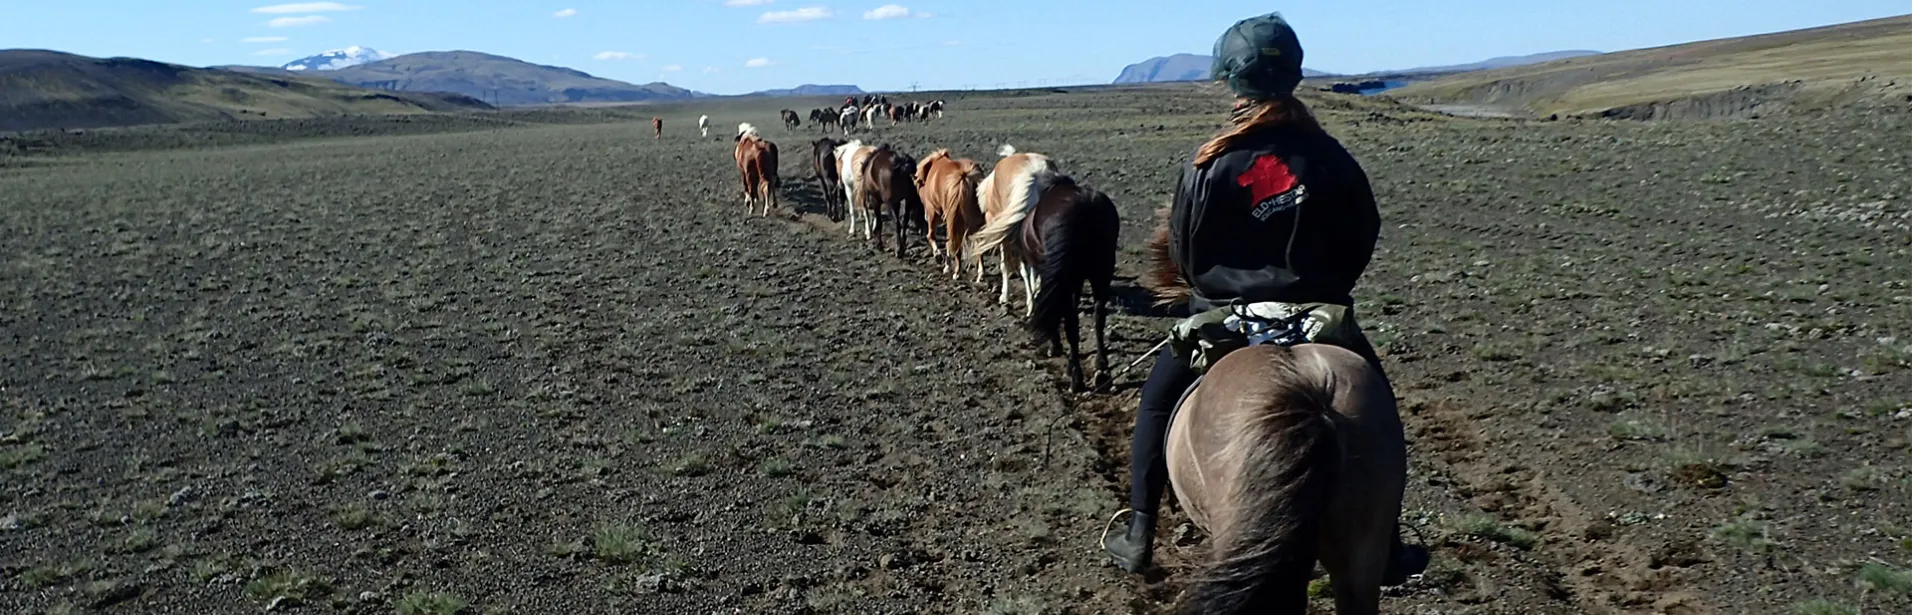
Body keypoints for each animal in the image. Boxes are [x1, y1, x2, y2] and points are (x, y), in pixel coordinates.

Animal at [913, 149, 986, 280]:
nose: (925, 216)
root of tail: (964, 176)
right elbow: (948, 242)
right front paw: (946, 266)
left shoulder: (934, 213)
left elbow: (931, 236)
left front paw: (939, 257)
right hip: (972, 221)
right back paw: (980, 273)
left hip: (953, 219)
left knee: (956, 244)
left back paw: (957, 272)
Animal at [971, 145, 1116, 389]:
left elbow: (1022, 275)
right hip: (1100, 272)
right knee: (1098, 316)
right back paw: (1100, 368)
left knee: (1070, 319)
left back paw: (1075, 374)